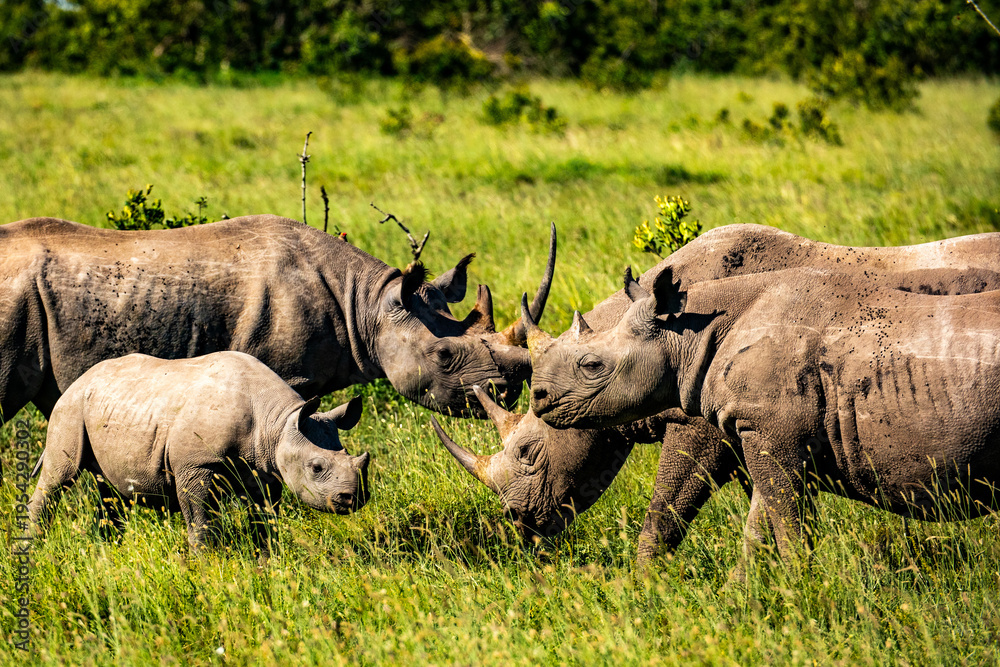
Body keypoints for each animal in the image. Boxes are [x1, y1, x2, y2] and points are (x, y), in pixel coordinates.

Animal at [29, 351, 370, 550]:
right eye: (316, 468)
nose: (354, 499)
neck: (278, 422)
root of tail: (80, 379)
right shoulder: (196, 464)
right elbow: (200, 517)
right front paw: (204, 561)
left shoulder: (265, 468)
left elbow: (264, 515)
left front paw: (267, 556)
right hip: (70, 407)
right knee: (61, 476)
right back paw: (35, 547)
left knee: (112, 492)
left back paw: (108, 552)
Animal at [432, 224, 1000, 561]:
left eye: (529, 452)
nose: (518, 521)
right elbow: (765, 510)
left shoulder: (700, 423)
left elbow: (667, 509)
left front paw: (641, 587)